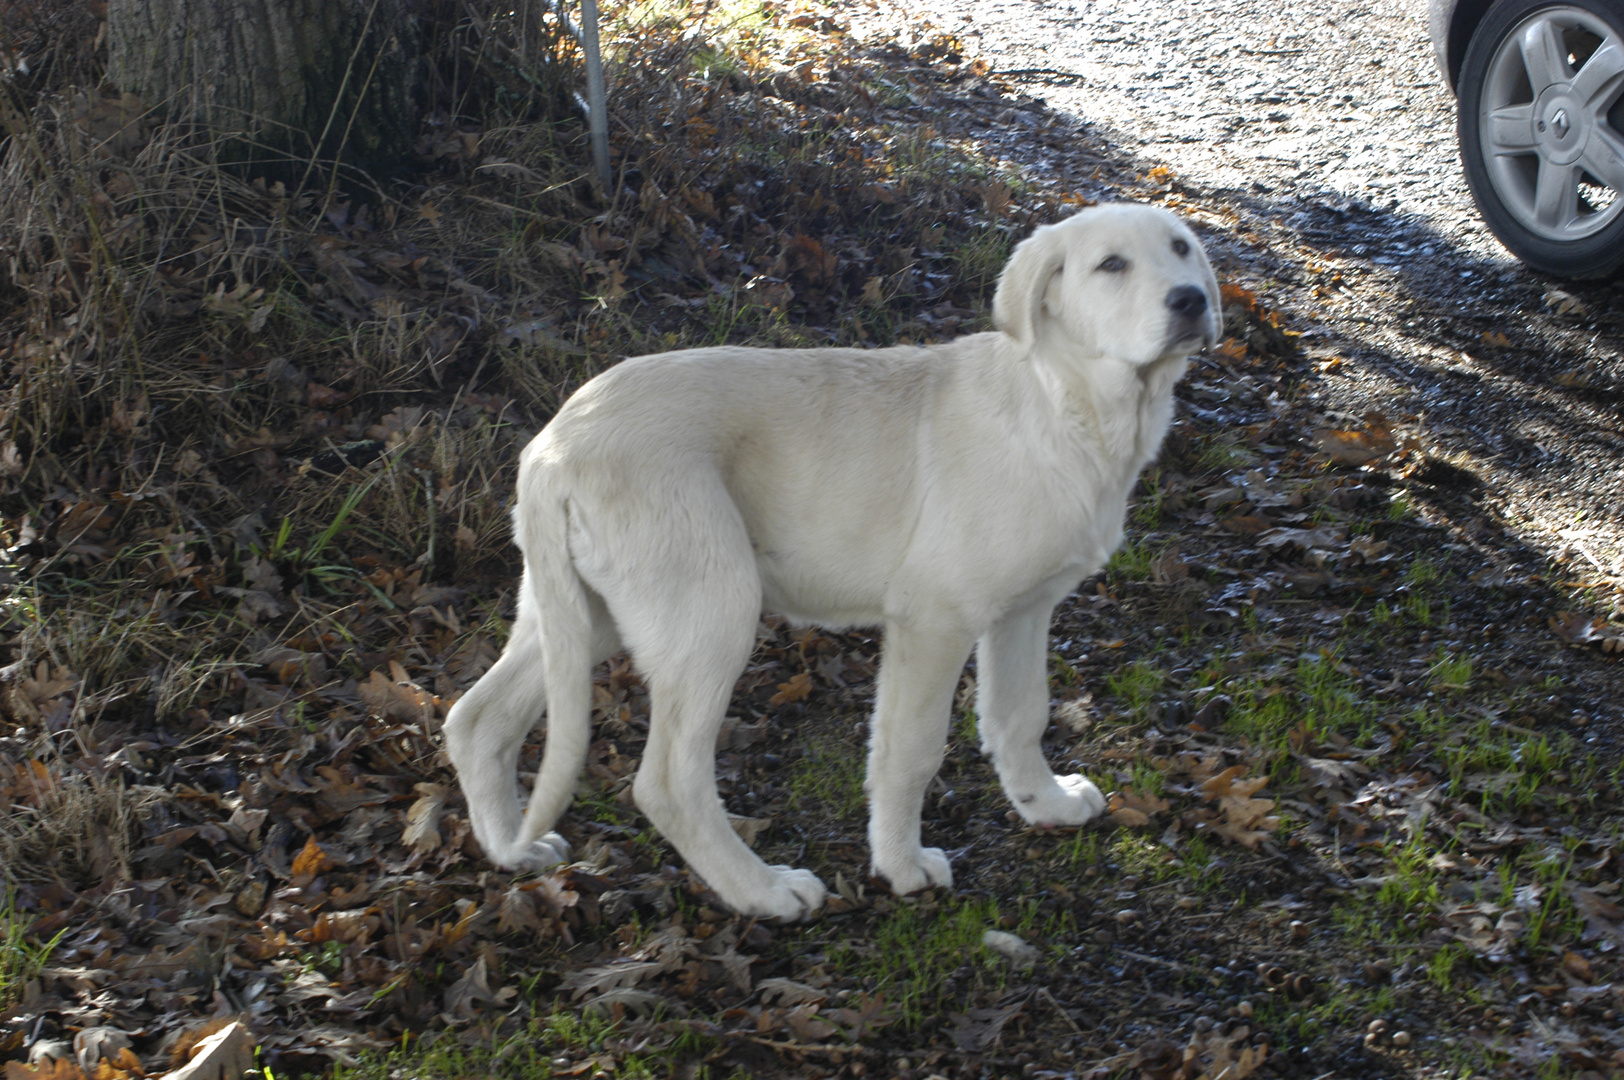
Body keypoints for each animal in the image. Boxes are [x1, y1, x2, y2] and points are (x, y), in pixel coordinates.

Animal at [444, 202, 1221, 915]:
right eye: (1111, 265)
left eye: (1182, 249)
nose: (1193, 300)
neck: (1066, 406)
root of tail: (554, 446)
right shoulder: (934, 619)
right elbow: (911, 751)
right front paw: (902, 867)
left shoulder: (1024, 611)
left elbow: (1019, 715)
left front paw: (1045, 804)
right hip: (711, 610)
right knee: (667, 782)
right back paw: (762, 891)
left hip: (582, 610)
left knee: (477, 719)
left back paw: (510, 848)